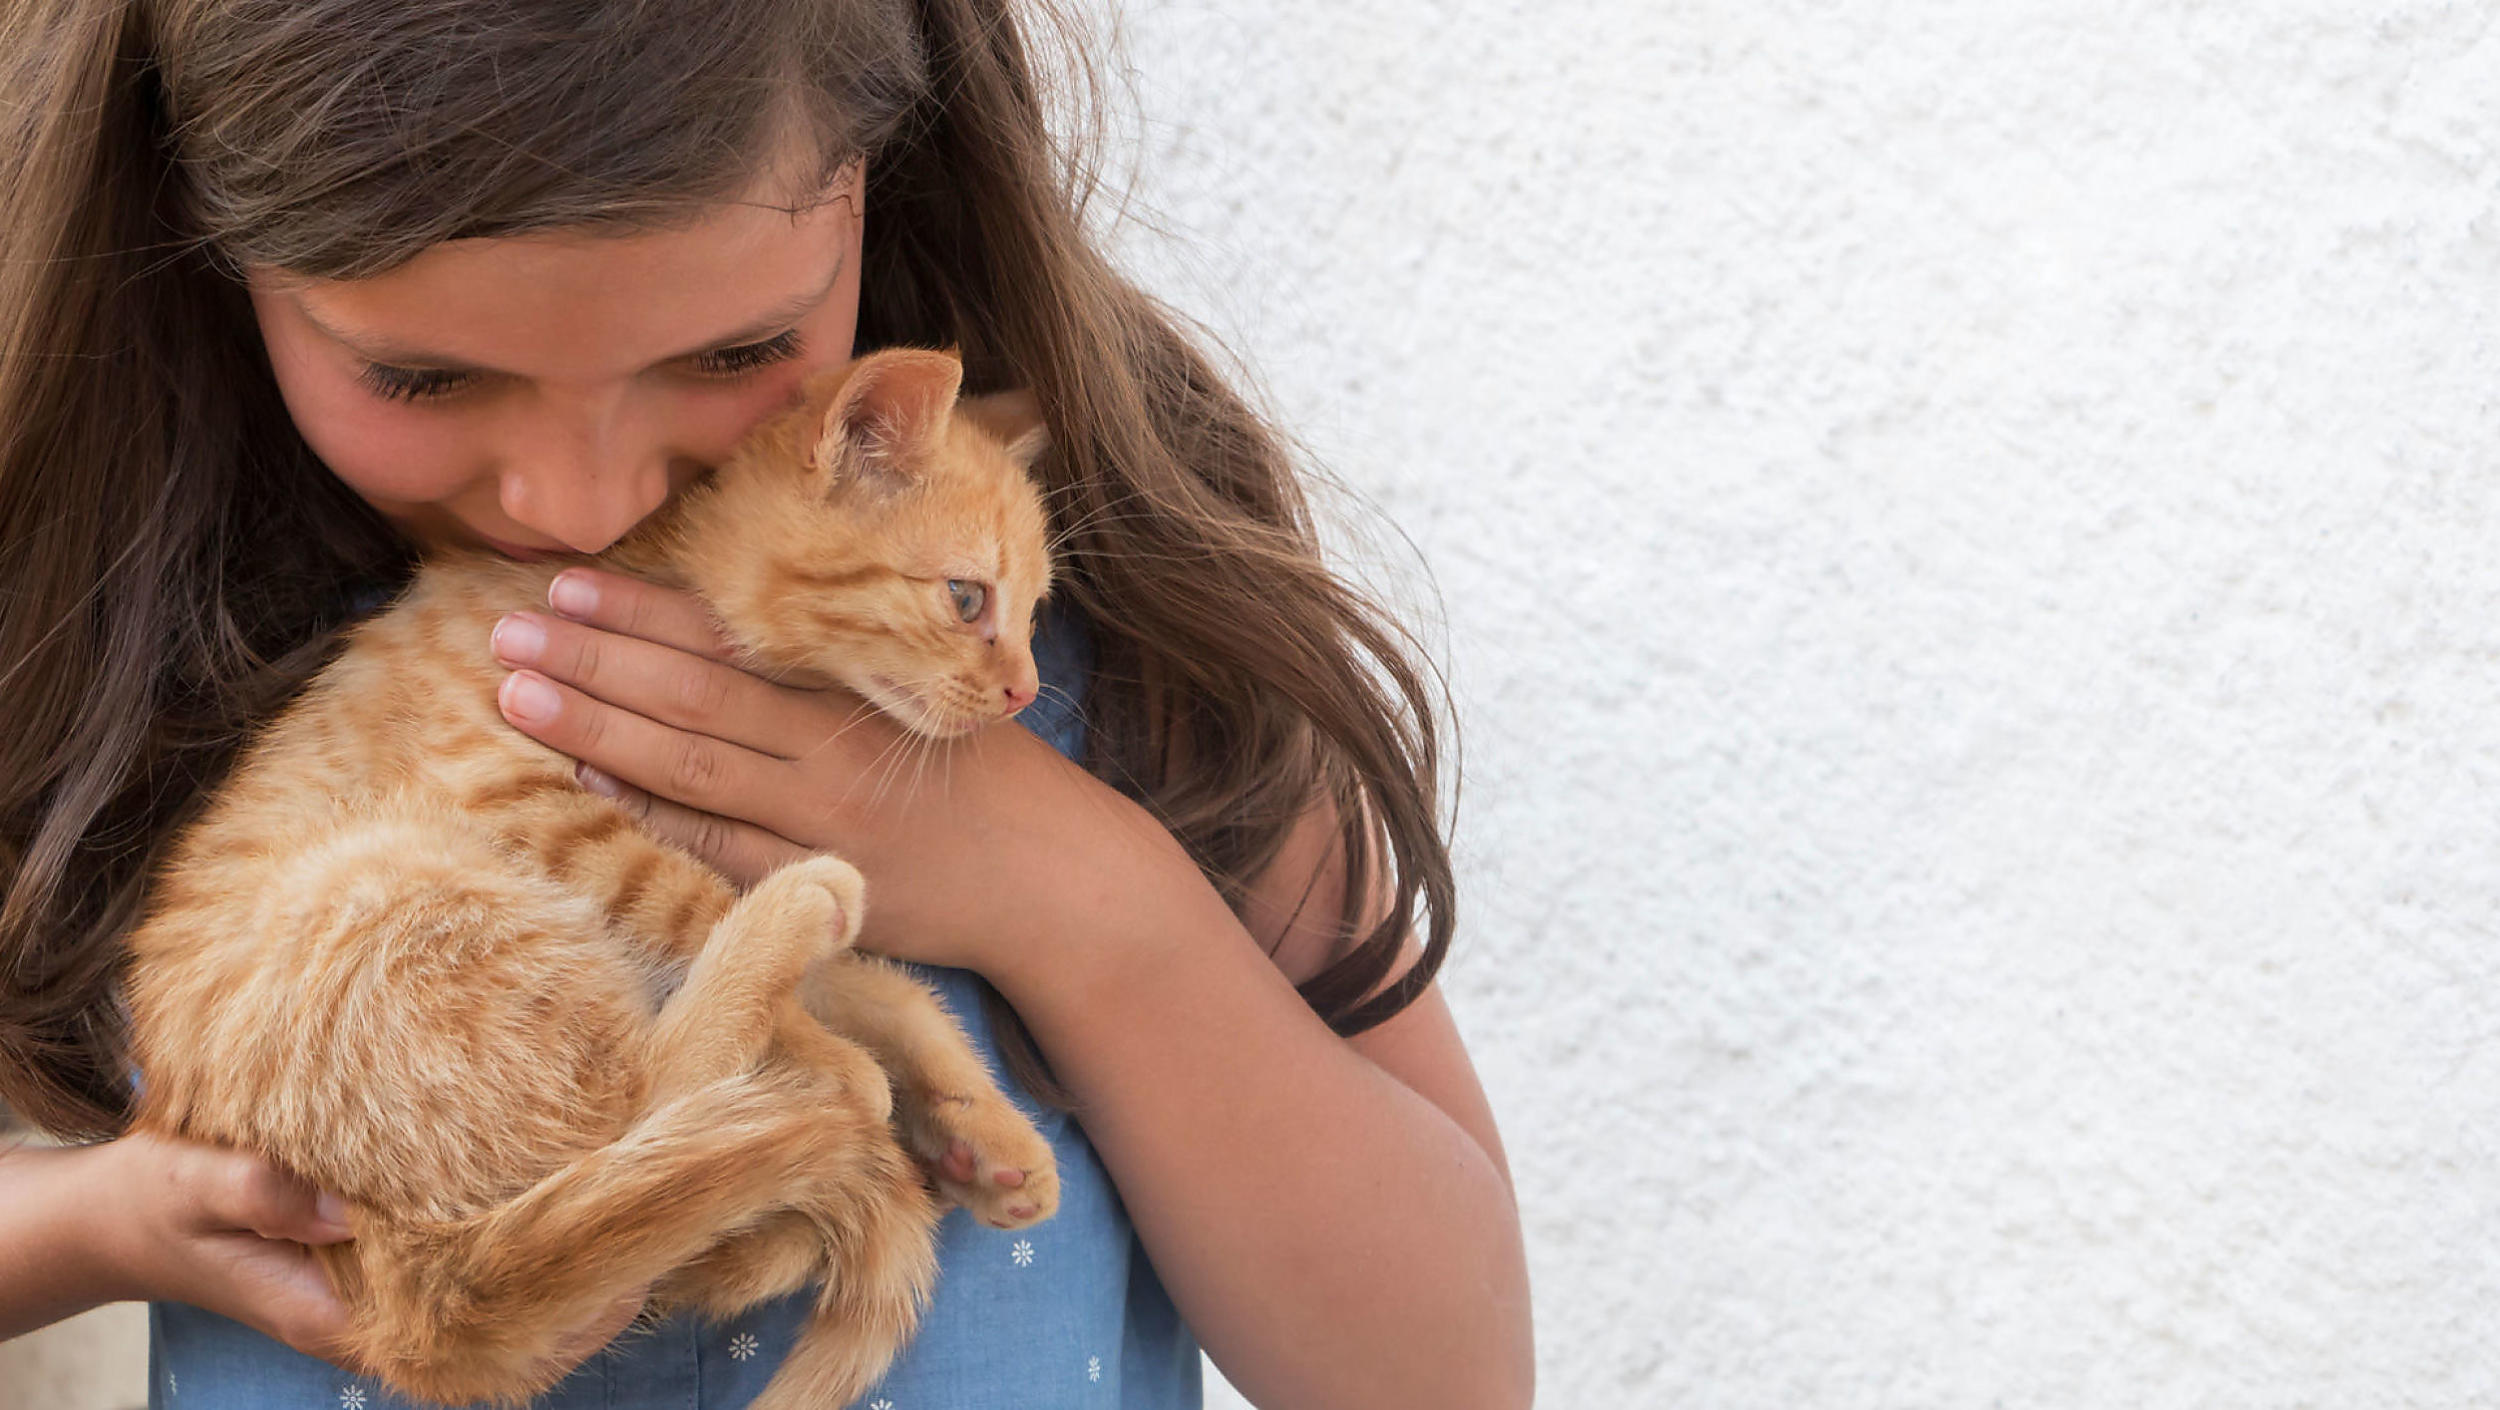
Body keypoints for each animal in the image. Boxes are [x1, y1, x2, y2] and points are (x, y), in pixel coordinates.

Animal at [124, 350, 1055, 1410]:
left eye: (1037, 614)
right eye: (969, 599)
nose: (1025, 691)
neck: (656, 568)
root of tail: (409, 1309)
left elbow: (870, 983)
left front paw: (978, 1125)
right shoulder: (521, 791)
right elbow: (691, 902)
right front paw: (838, 1053)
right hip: (406, 889)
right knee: (639, 1092)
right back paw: (805, 989)